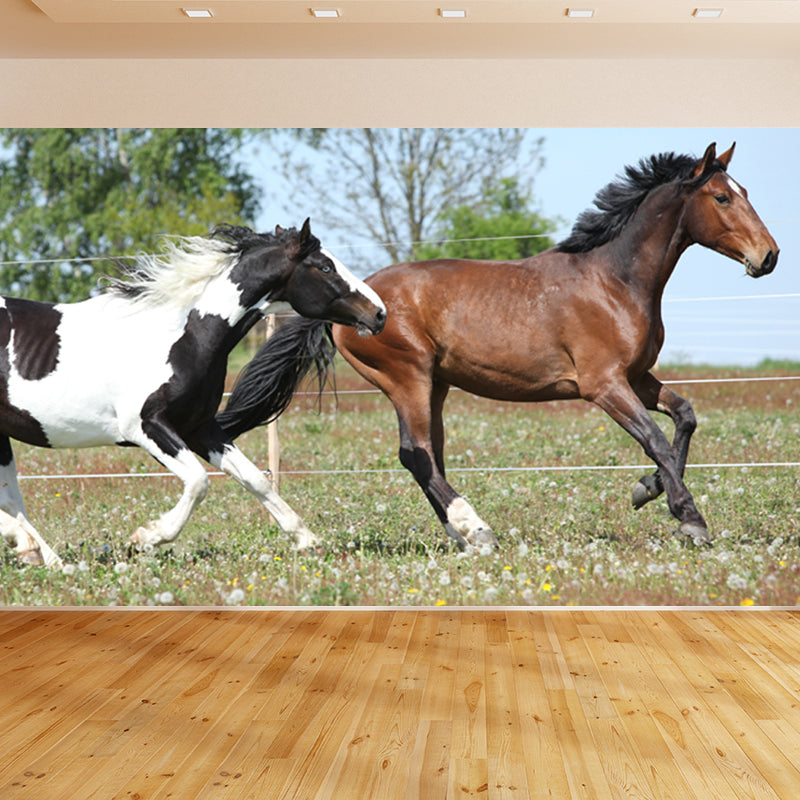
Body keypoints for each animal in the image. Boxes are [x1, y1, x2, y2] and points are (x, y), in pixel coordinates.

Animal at [1, 219, 386, 567]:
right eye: (325, 266)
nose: (380, 314)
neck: (182, 335)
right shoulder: (146, 427)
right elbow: (199, 482)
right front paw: (145, 539)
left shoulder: (201, 427)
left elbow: (255, 480)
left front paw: (307, 540)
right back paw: (30, 546)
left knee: (12, 496)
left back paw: (44, 556)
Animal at [217, 144, 778, 550]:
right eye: (722, 198)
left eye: (745, 190)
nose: (768, 256)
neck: (613, 281)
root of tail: (357, 303)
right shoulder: (603, 385)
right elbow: (656, 439)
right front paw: (690, 519)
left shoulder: (637, 378)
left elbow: (684, 416)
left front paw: (647, 490)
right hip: (407, 378)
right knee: (414, 454)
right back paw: (478, 530)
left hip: (435, 387)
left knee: (431, 456)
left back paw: (461, 532)